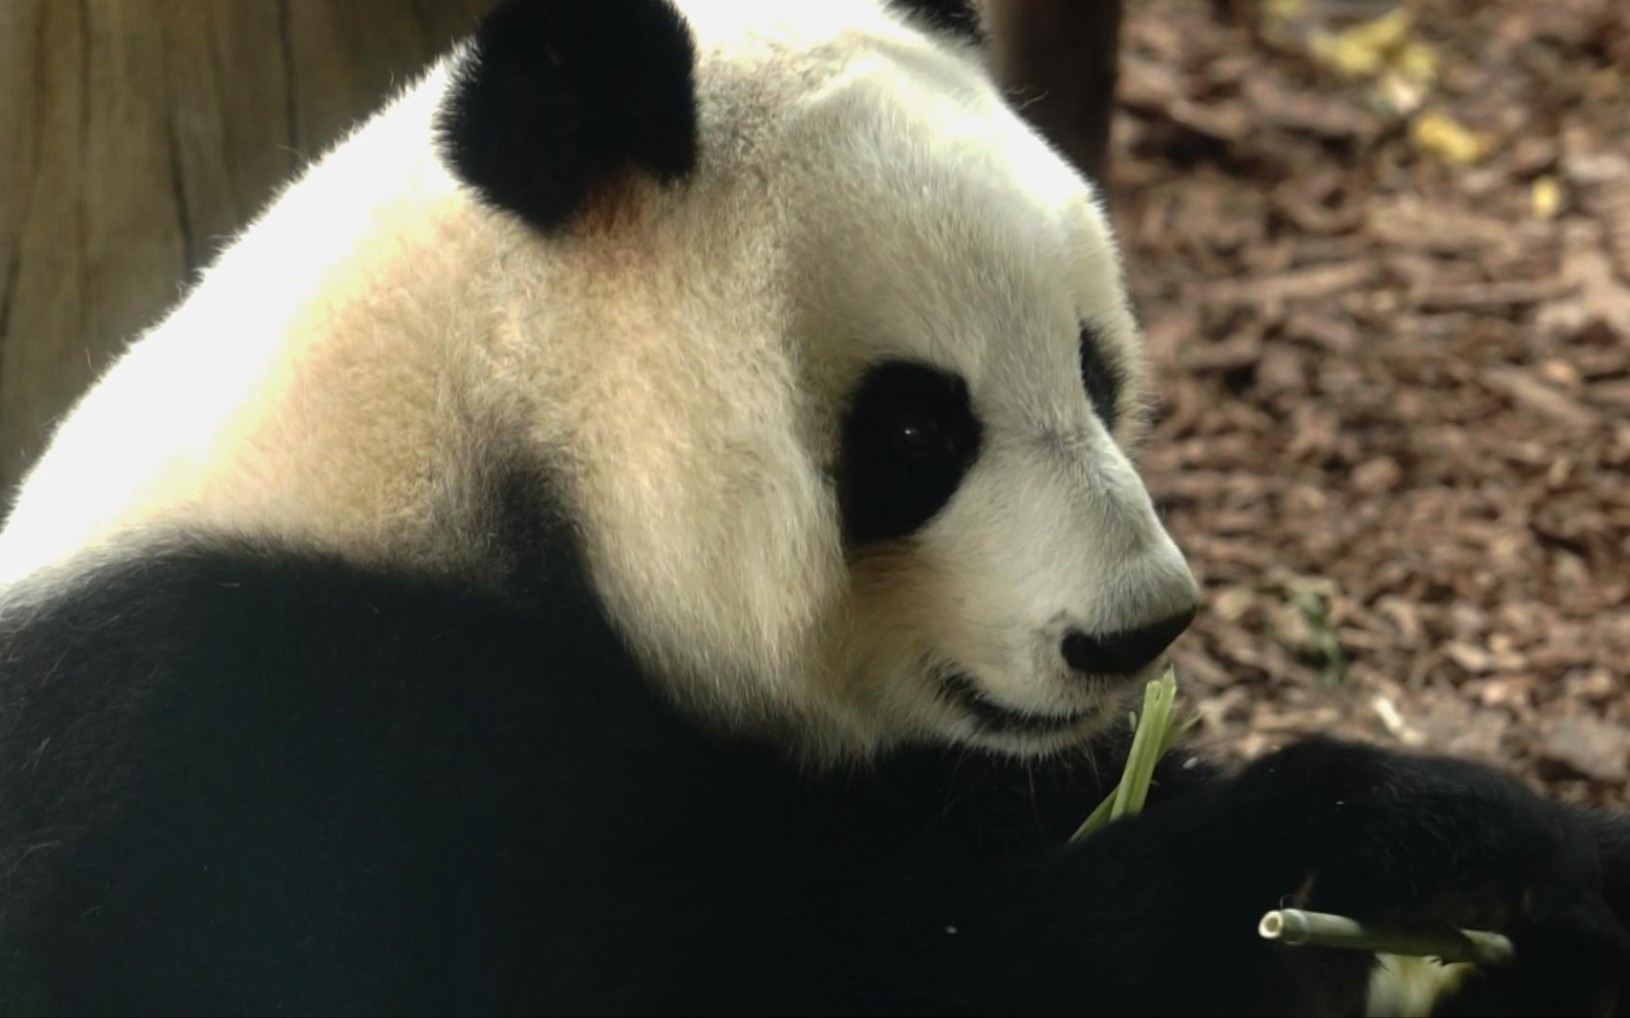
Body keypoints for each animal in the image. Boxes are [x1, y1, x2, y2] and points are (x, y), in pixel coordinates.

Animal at [3, 0, 1630, 1009]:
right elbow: (810, 974)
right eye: (916, 428)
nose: (1136, 633)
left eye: (1095, 366)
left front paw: (1540, 878)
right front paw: (1353, 842)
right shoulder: (268, 734)